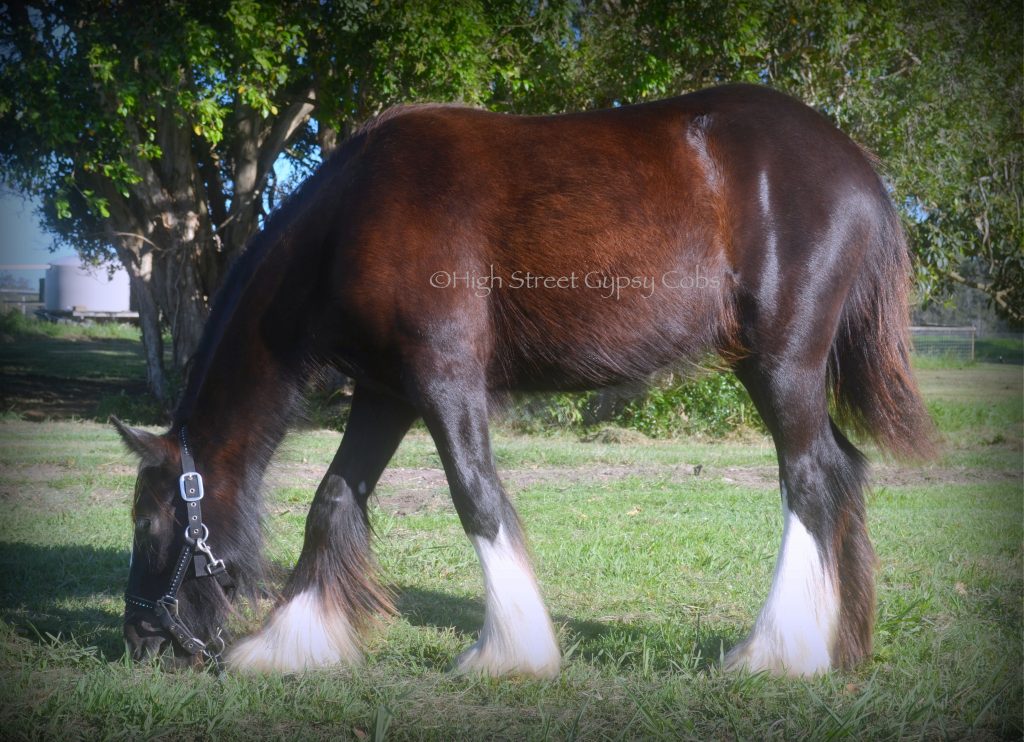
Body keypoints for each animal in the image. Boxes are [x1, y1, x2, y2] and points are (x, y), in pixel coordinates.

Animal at [117, 83, 937, 675]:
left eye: (147, 522)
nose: (141, 642)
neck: (353, 217)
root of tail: (858, 168)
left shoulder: (445, 381)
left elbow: (476, 496)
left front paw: (511, 653)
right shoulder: (386, 393)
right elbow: (334, 500)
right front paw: (288, 643)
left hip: (780, 363)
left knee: (809, 478)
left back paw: (775, 653)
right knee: (840, 470)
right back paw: (837, 647)